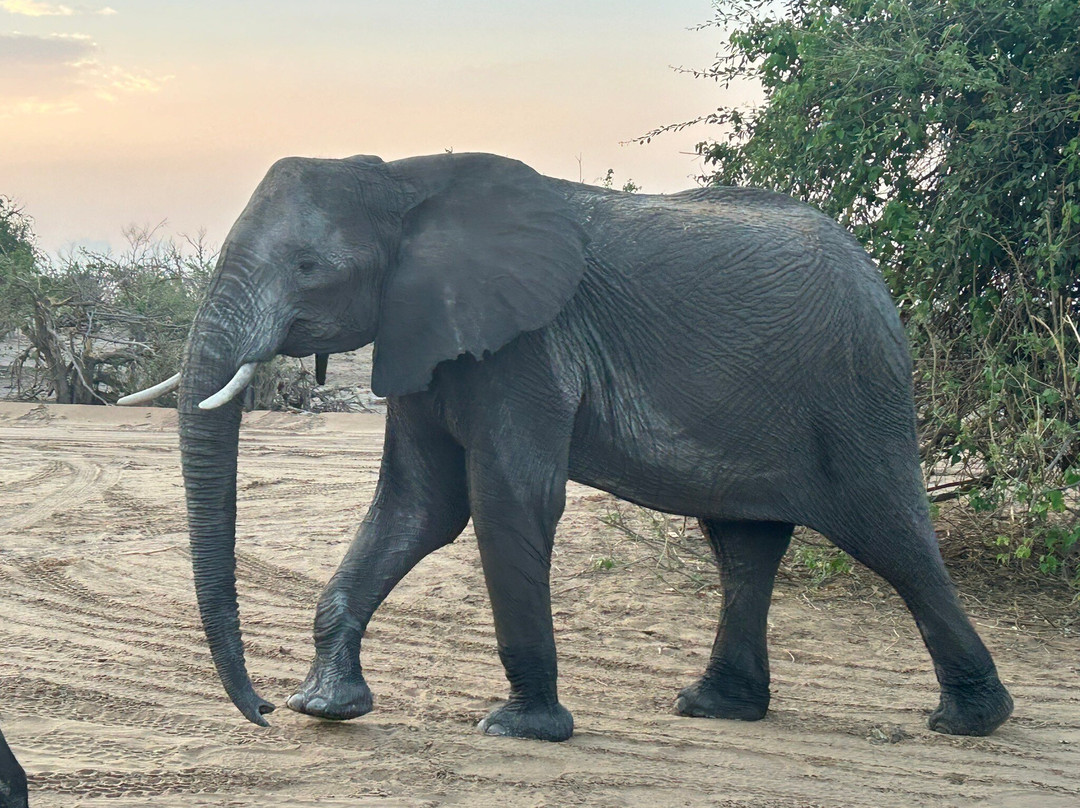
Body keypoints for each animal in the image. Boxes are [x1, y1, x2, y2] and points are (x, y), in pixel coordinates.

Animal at [126, 150, 1010, 738]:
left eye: (309, 268)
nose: (262, 712)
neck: (405, 177)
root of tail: (878, 278)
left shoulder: (528, 345)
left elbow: (506, 499)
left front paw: (520, 728)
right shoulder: (424, 332)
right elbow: (417, 508)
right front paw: (327, 708)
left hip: (855, 391)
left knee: (891, 536)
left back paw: (971, 720)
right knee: (743, 544)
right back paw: (717, 707)